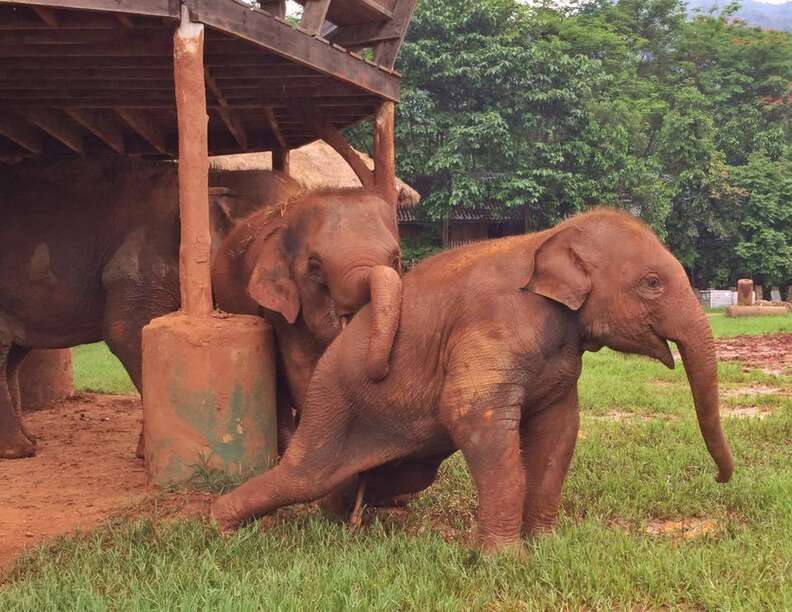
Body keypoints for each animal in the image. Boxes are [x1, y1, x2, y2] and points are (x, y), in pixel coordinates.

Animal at [211, 208, 735, 553]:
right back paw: (215, 528)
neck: (547, 236)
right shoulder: (492, 325)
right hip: (332, 398)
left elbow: (559, 432)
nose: (719, 477)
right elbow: (470, 413)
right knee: (304, 474)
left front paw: (546, 546)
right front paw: (504, 560)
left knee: (386, 475)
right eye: (652, 283)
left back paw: (346, 521)